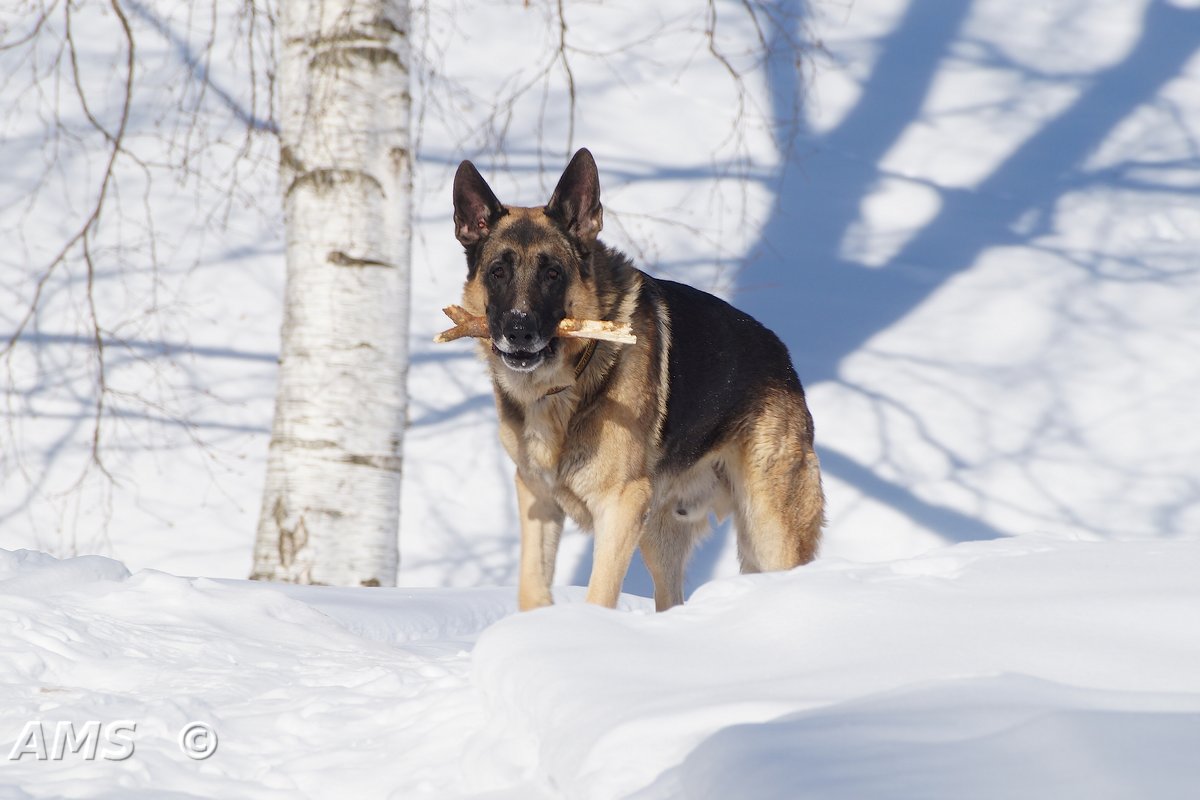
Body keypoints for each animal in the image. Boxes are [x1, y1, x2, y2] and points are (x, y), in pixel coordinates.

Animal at [451, 151, 825, 614]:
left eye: (552, 274)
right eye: (498, 272)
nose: (519, 332)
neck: (562, 385)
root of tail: (784, 359)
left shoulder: (620, 506)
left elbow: (599, 596)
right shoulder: (538, 498)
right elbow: (532, 590)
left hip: (769, 529)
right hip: (659, 537)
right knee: (671, 598)